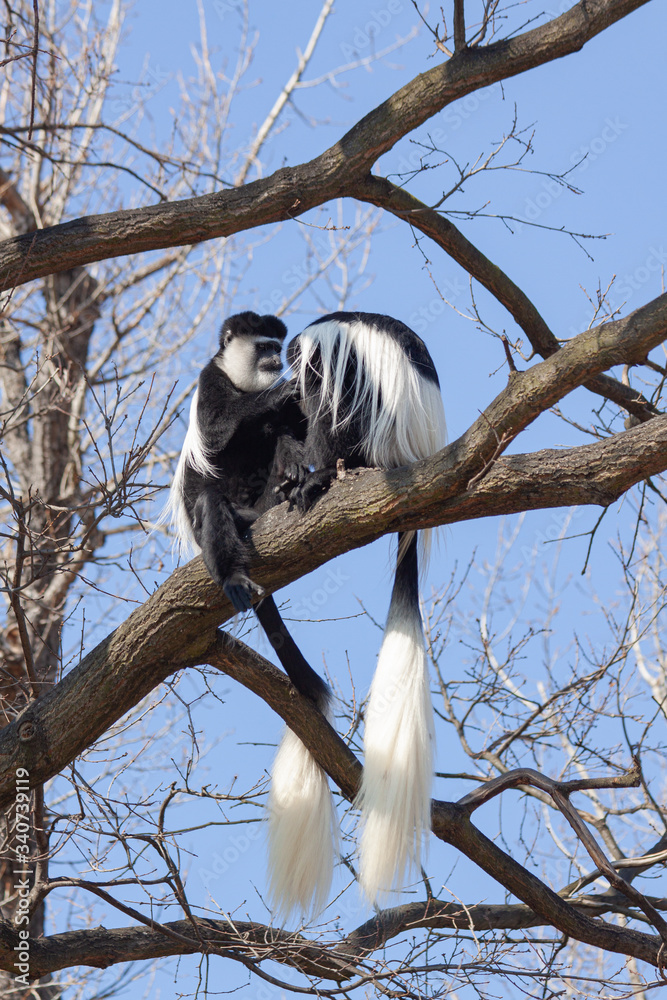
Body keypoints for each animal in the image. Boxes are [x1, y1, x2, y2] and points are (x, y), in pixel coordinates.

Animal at [285, 310, 447, 903]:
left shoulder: (329, 356)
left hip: (372, 424)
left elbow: (326, 403)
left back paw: (322, 474)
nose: (289, 382)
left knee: (338, 412)